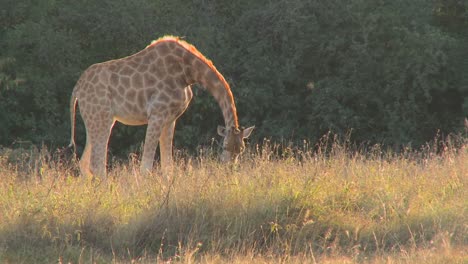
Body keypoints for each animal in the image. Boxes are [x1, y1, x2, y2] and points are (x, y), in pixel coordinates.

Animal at [67, 36, 254, 176]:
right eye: (224, 146)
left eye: (242, 149)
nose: (229, 170)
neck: (188, 72)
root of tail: (77, 89)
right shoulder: (157, 114)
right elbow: (146, 166)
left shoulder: (171, 118)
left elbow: (167, 166)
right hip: (101, 117)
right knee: (96, 164)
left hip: (96, 119)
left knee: (84, 162)